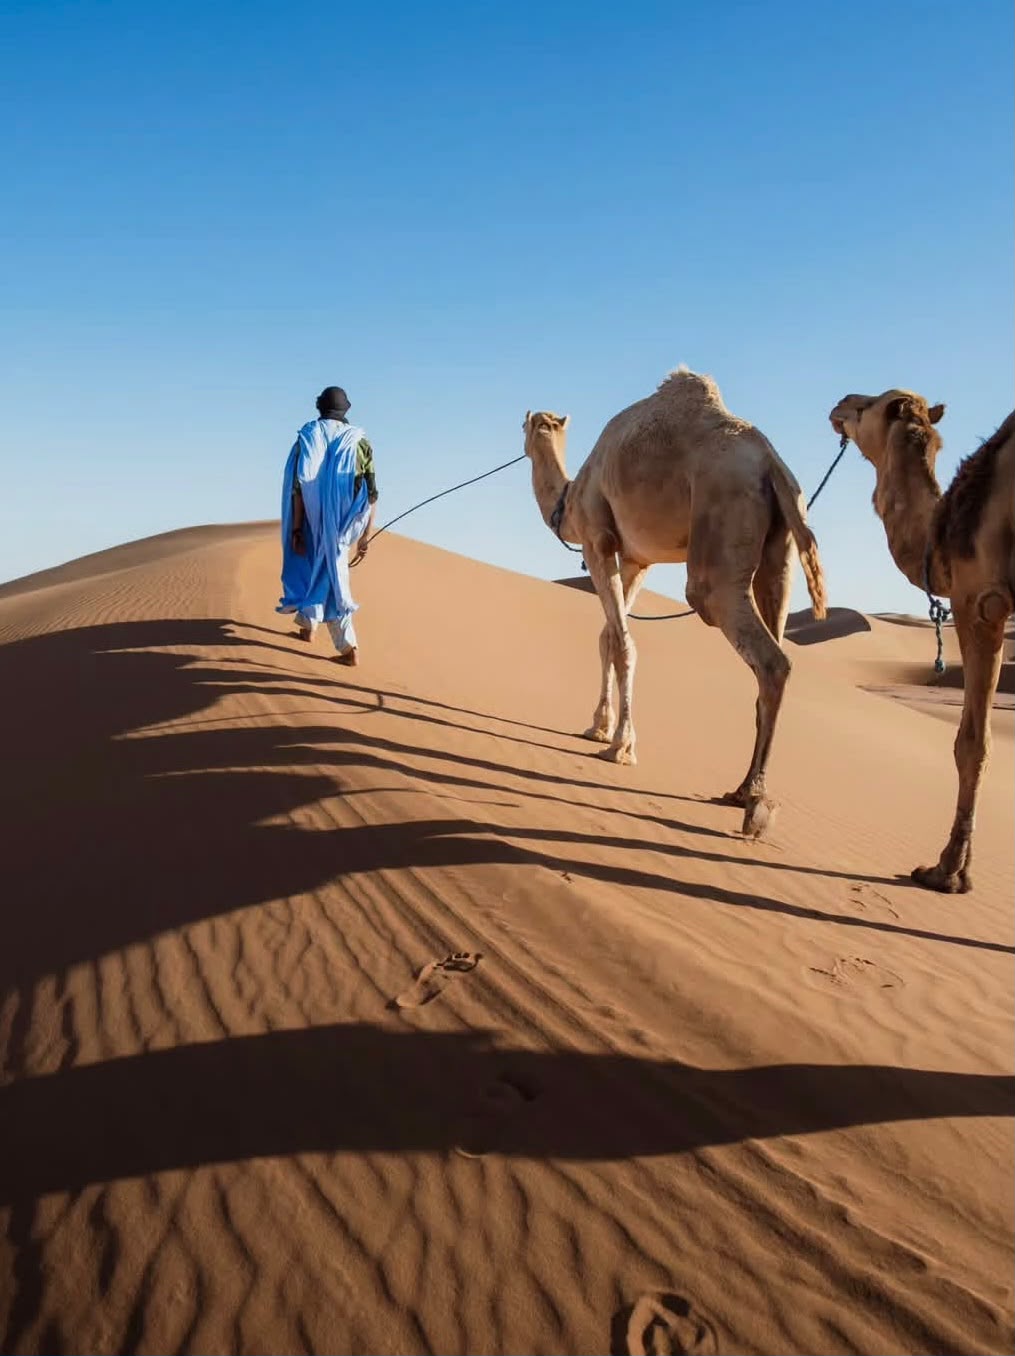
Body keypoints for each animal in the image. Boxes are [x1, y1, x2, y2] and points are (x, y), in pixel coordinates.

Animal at [524, 367, 827, 837]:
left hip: (718, 534)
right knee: (772, 645)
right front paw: (598, 727)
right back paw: (742, 790)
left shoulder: (597, 537)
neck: (569, 502)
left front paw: (621, 746)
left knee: (767, 655)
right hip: (782, 548)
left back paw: (755, 801)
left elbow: (622, 642)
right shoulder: (636, 557)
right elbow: (608, 638)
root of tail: (771, 461)